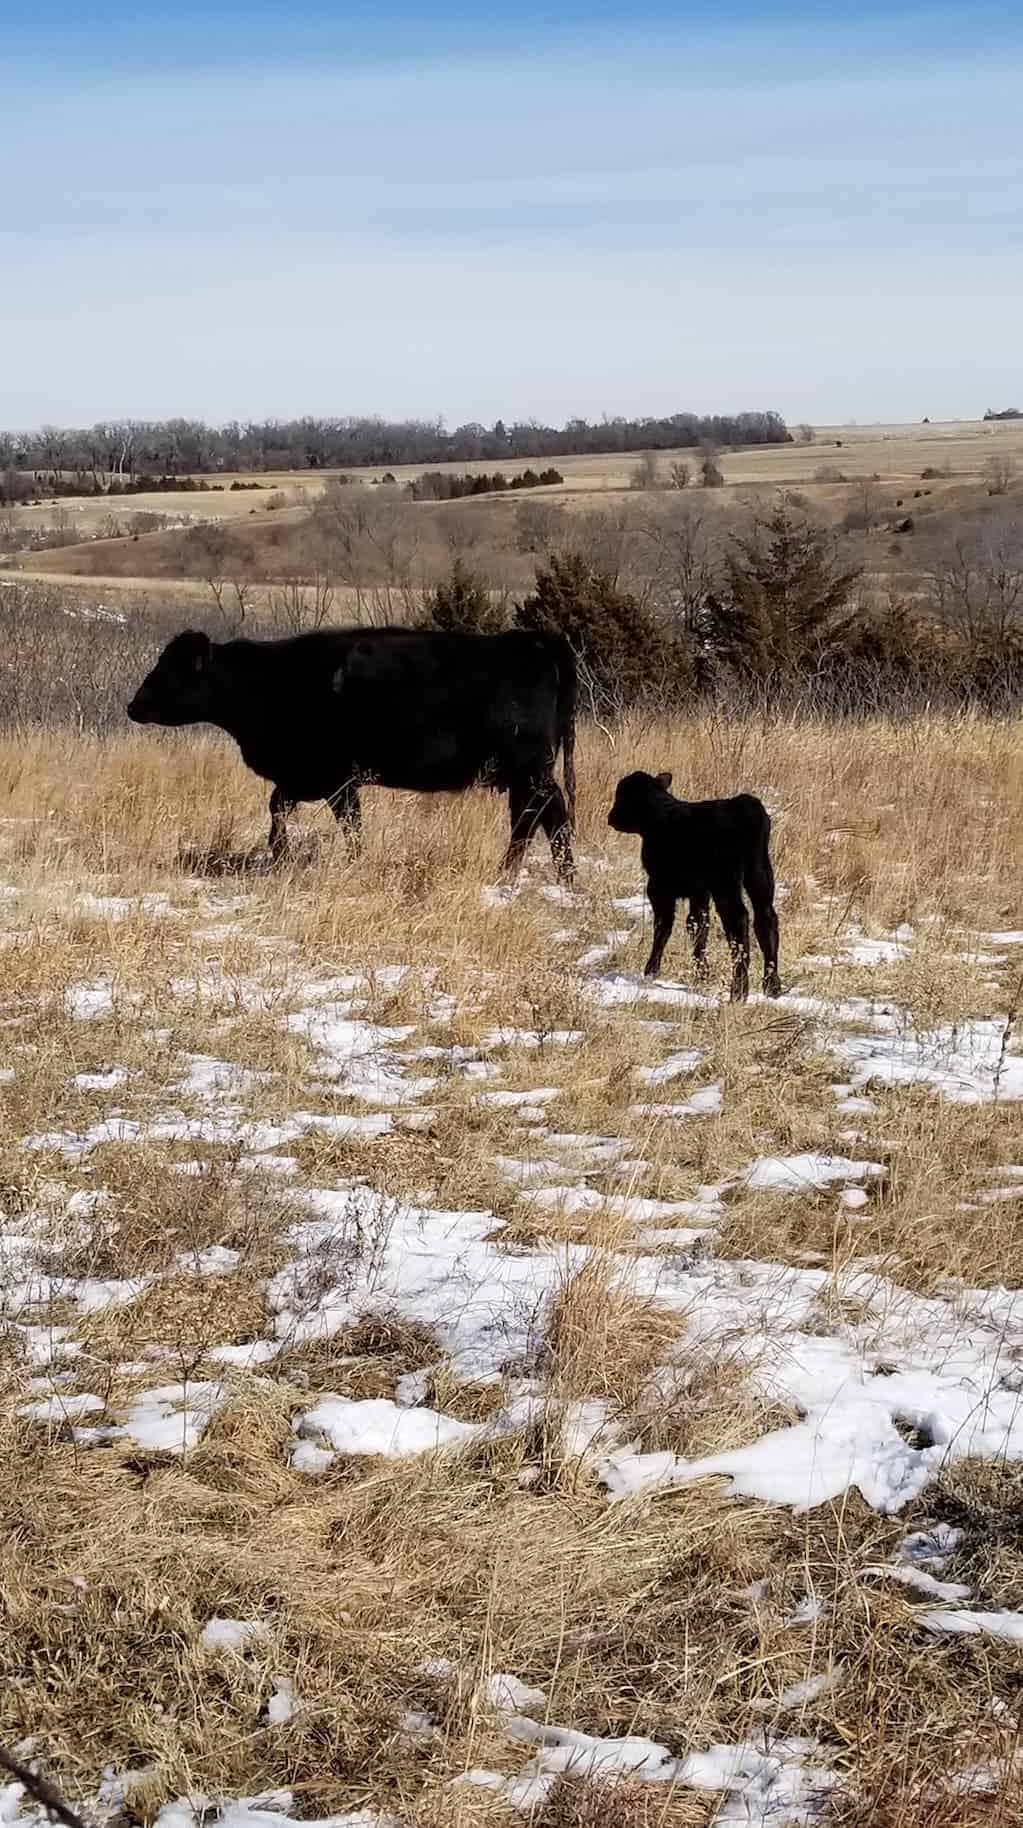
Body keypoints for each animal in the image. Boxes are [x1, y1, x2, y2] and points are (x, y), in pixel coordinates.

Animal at [126, 628, 577, 877]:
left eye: (173, 669)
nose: (134, 705)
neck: (265, 680)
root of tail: (532, 641)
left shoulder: (332, 780)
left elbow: (341, 823)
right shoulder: (310, 781)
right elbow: (282, 809)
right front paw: (282, 852)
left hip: (531, 772)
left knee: (548, 815)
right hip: (523, 776)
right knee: (531, 819)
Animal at [606, 767, 781, 1009]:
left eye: (621, 797)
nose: (611, 817)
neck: (660, 816)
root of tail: (744, 806)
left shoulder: (659, 887)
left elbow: (663, 926)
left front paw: (651, 969)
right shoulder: (700, 891)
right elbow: (697, 925)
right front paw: (701, 972)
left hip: (725, 883)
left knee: (738, 920)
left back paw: (738, 991)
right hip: (761, 874)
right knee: (766, 918)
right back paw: (772, 986)